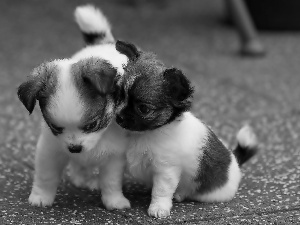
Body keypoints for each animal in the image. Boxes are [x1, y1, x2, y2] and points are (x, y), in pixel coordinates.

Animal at [115, 40, 258, 218]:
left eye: (143, 109)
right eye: (119, 96)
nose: (118, 117)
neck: (145, 134)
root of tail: (235, 161)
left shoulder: (166, 170)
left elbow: (161, 191)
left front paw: (158, 208)